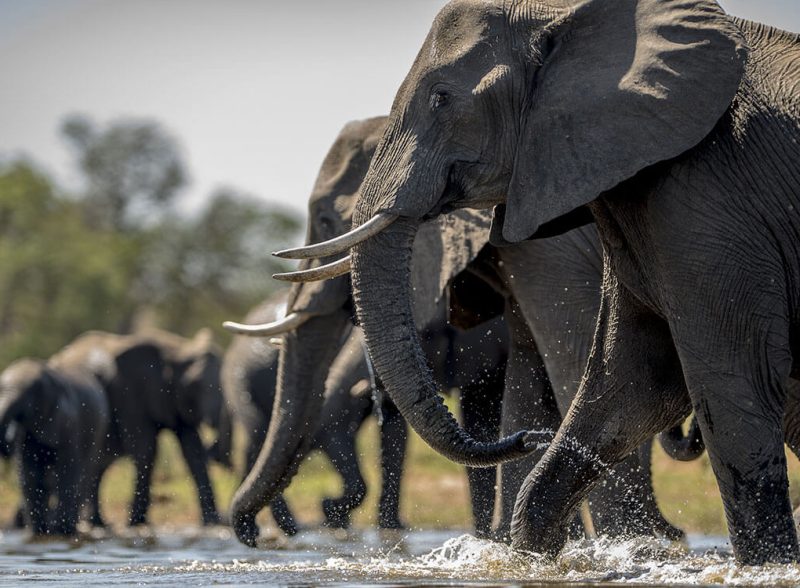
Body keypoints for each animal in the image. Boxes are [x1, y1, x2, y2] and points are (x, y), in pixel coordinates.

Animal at [0, 358, 109, 535]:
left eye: (28, 397)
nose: (8, 439)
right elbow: (29, 473)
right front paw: (38, 532)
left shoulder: (69, 421)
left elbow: (67, 469)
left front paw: (61, 531)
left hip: (98, 431)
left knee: (84, 474)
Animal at [49, 327, 231, 527]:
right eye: (195, 384)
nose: (215, 453)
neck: (176, 350)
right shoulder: (131, 392)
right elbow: (145, 448)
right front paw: (136, 522)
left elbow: (193, 450)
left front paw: (212, 522)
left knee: (97, 466)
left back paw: (98, 523)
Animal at [228, 115, 685, 545]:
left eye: (325, 220)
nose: (254, 536)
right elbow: (523, 381)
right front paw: (506, 545)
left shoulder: (549, 251)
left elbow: (574, 363)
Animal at [293, 0, 800, 565]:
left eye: (441, 98)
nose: (531, 439)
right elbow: (631, 380)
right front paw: (540, 554)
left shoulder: (707, 199)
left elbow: (730, 381)